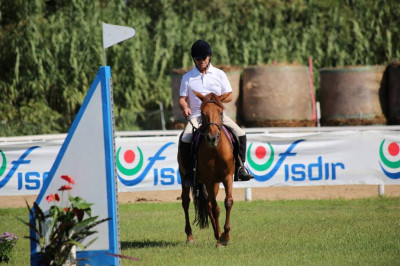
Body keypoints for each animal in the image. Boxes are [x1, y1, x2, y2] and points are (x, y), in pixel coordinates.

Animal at [177, 91, 234, 247]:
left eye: (221, 112)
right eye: (203, 113)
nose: (212, 138)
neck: (215, 151)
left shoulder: (227, 177)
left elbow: (228, 202)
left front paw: (225, 236)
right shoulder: (208, 180)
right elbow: (215, 208)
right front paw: (223, 238)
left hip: (215, 183)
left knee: (207, 204)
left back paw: (217, 235)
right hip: (185, 177)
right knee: (186, 202)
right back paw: (190, 236)